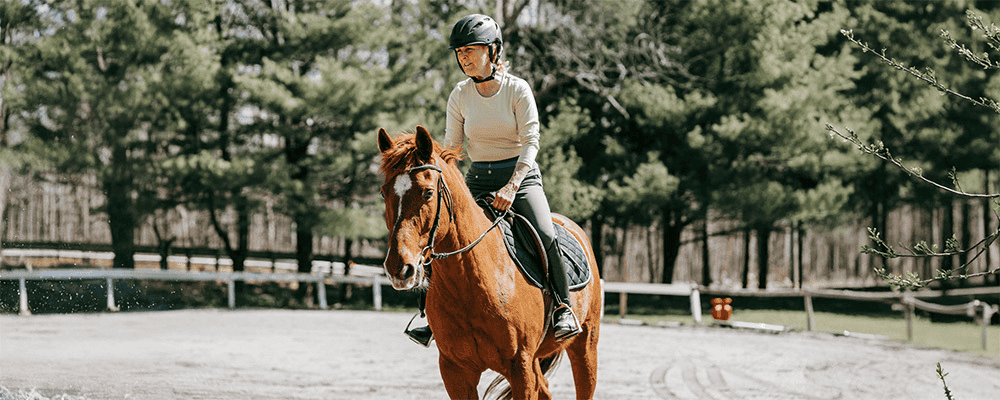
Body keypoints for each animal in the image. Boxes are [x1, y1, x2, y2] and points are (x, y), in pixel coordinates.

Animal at [377, 126, 602, 400]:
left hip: (585, 346)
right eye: (384, 192)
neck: (469, 282)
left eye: (427, 192)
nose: (398, 268)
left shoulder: (521, 367)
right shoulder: (455, 371)